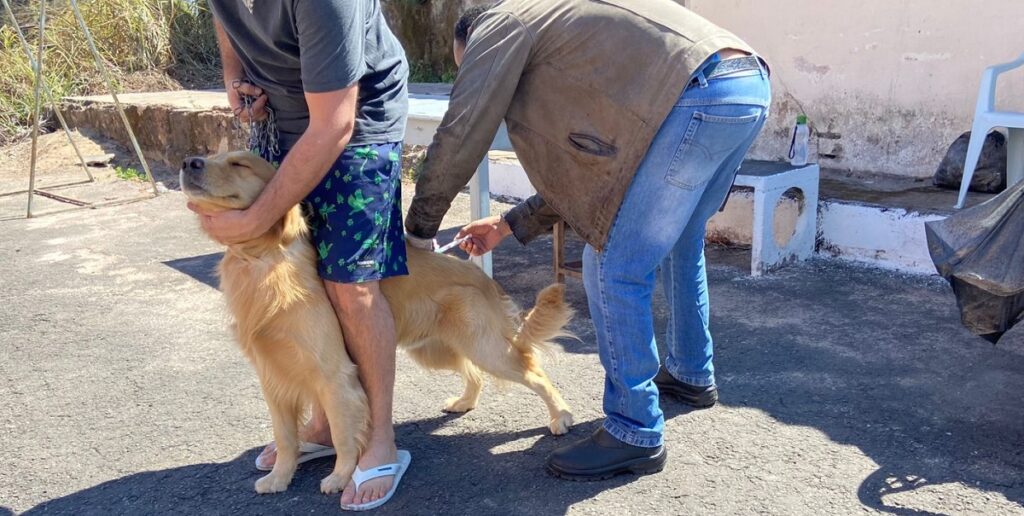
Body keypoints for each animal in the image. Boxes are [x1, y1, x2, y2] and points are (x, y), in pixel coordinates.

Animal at [181, 151, 575, 494]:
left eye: (239, 164)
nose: (188, 163)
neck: (264, 263)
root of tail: (481, 276)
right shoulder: (273, 379)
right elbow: (286, 437)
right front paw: (279, 478)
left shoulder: (335, 375)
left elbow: (343, 434)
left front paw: (341, 477)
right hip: (436, 350)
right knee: (473, 371)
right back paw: (465, 401)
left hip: (485, 348)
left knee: (535, 372)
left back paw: (561, 416)